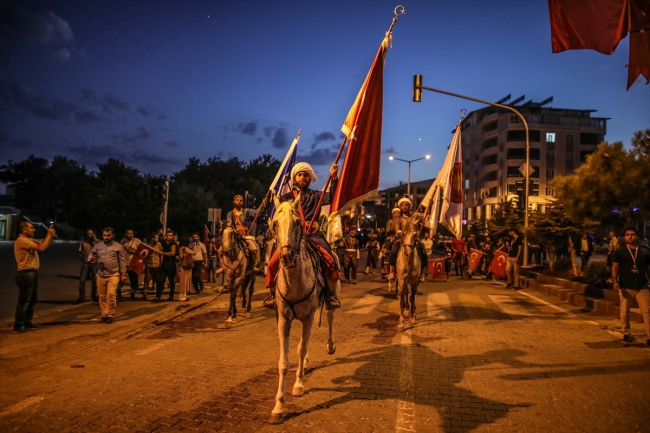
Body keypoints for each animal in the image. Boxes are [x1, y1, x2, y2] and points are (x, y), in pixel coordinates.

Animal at [268, 192, 340, 422]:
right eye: (275, 223)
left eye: (298, 222)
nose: (286, 256)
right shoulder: (283, 318)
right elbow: (284, 361)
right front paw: (278, 407)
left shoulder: (307, 316)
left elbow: (300, 349)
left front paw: (298, 384)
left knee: (330, 318)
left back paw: (330, 346)